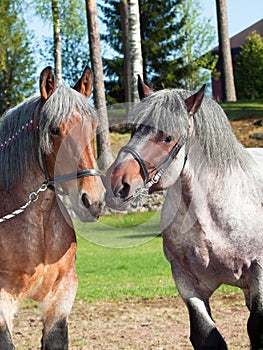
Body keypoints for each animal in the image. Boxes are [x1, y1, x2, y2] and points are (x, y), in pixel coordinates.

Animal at [105, 78, 263, 348]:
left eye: (168, 137)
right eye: (134, 129)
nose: (118, 182)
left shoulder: (259, 275)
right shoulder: (187, 282)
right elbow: (206, 334)